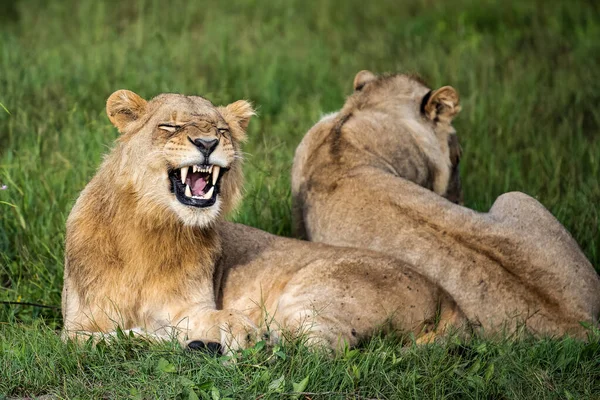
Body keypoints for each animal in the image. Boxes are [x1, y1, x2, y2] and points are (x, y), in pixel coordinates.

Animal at [65, 89, 468, 352]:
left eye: (222, 130)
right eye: (170, 126)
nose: (208, 143)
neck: (151, 228)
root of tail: (450, 300)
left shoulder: (194, 307)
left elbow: (146, 330)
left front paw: (219, 334)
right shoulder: (75, 325)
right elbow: (97, 338)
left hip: (311, 293)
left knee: (317, 350)